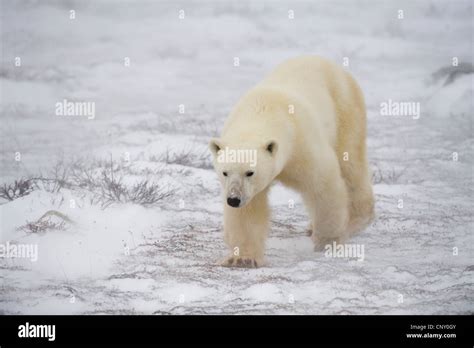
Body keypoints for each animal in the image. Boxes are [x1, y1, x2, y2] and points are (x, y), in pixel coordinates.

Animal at [210, 55, 374, 268]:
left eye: (250, 172)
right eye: (225, 172)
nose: (233, 199)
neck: (264, 110)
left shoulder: (301, 143)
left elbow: (323, 185)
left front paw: (327, 241)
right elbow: (249, 210)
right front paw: (242, 258)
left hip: (345, 108)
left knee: (351, 162)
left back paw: (355, 219)